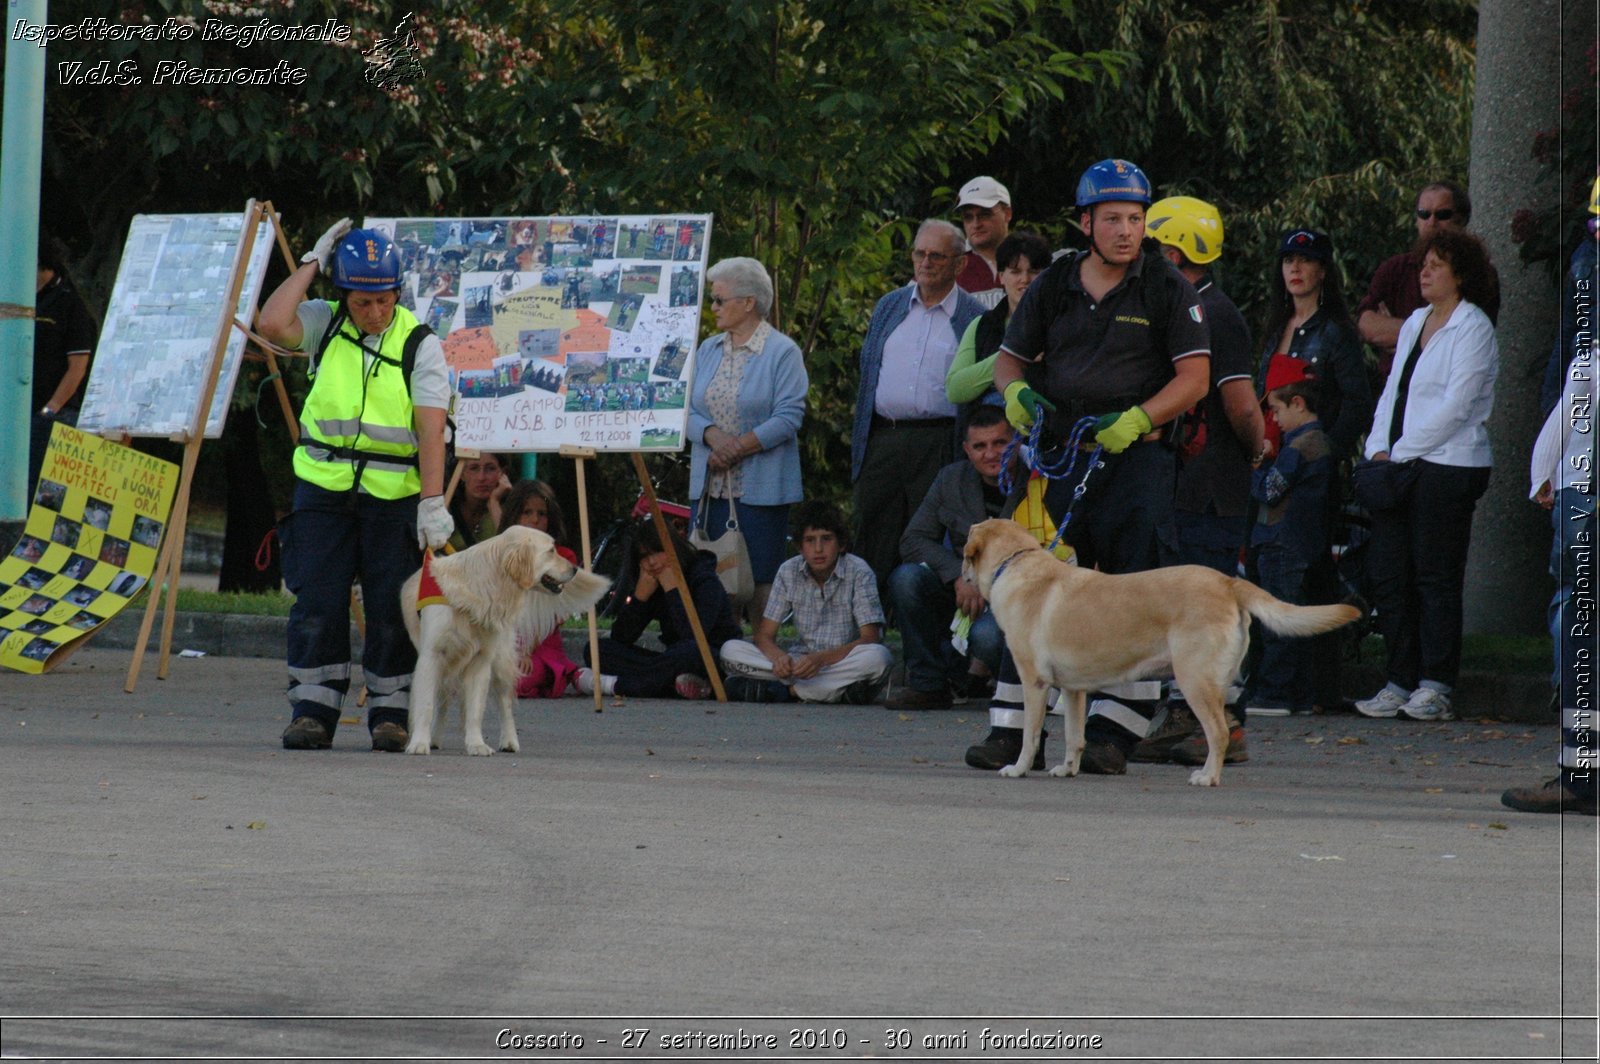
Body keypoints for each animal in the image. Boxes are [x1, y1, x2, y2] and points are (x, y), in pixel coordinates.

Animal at [403, 524, 608, 755]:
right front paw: (419, 742)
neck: (479, 591)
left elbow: (475, 710)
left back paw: (509, 741)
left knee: (505, 704)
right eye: (551, 551)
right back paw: (434, 738)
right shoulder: (431, 657)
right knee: (443, 698)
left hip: (501, 662)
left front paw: (476, 744)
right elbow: (426, 705)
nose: (574, 568)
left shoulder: (481, 660)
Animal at [960, 518, 1363, 784]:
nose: (958, 578)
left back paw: (1207, 776)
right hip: (1211, 680)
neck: (1014, 564)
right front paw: (1067, 769)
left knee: (1218, 732)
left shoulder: (1034, 682)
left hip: (1193, 679)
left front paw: (1018, 767)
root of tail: (1228, 581)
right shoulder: (1074, 691)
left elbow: (1029, 733)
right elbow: (1075, 736)